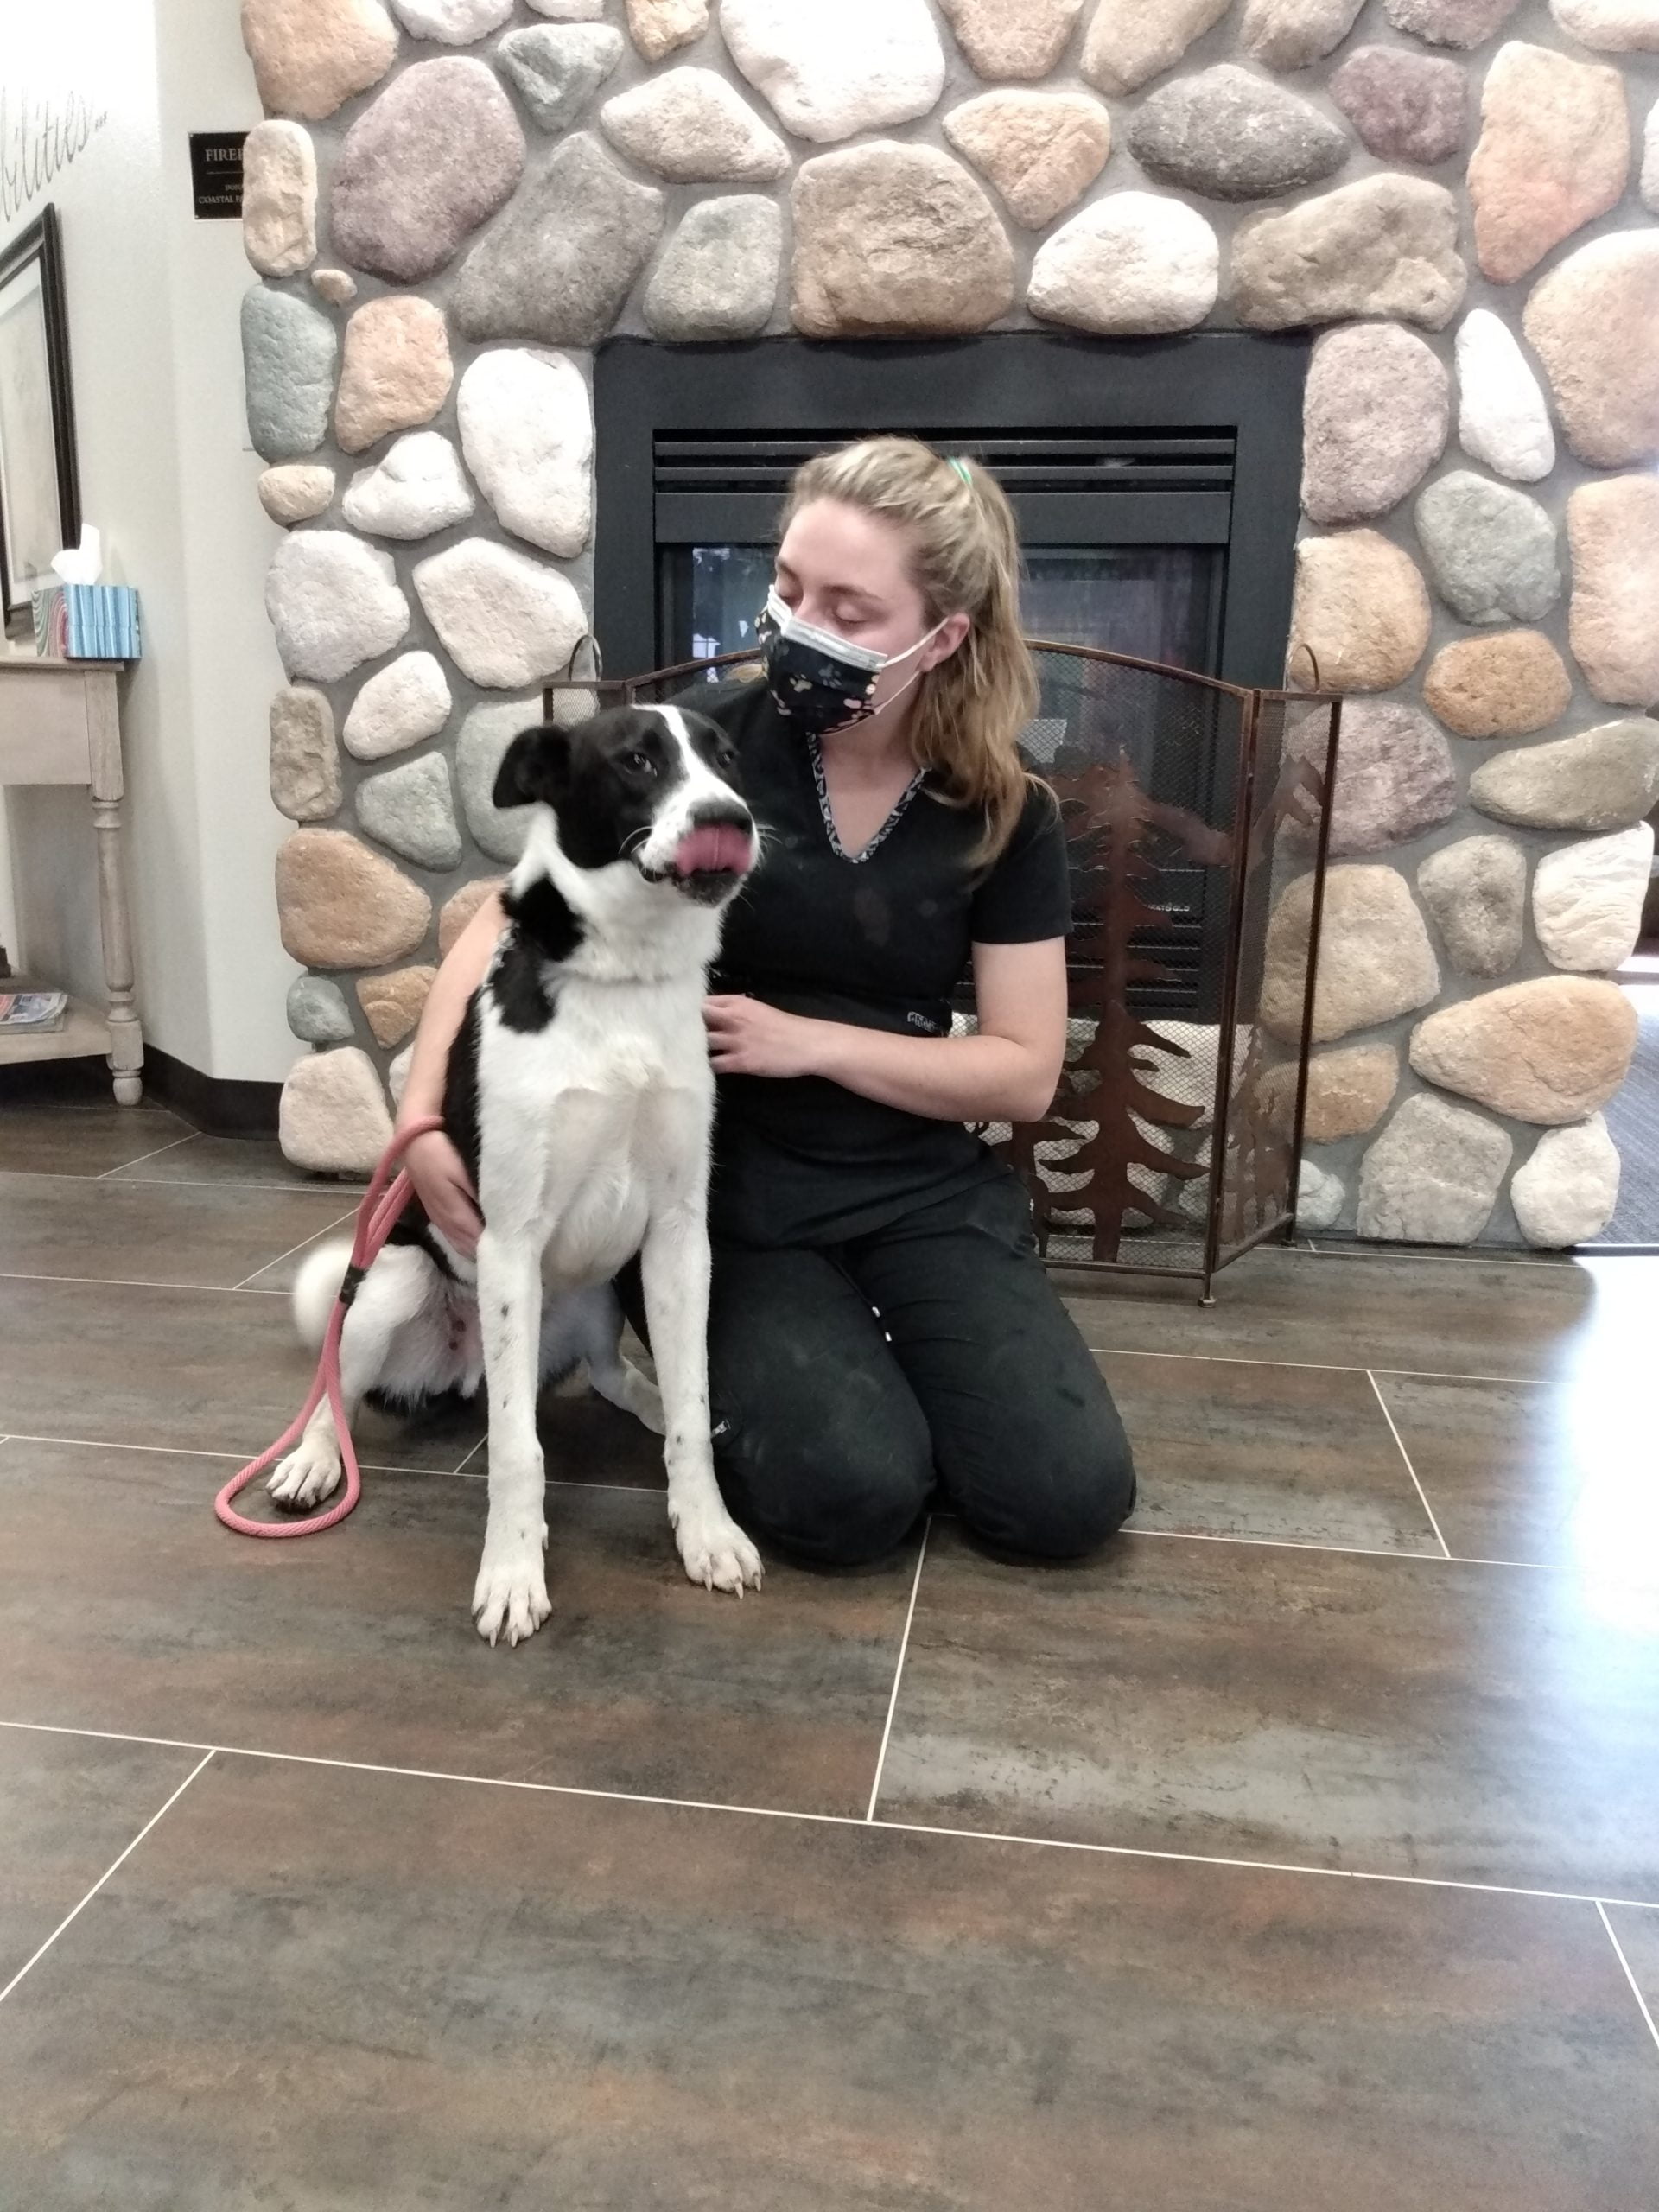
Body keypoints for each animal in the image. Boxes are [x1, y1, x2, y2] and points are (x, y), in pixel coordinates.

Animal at [269, 702, 764, 1645]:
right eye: (637, 760)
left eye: (728, 760)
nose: (732, 819)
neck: (623, 983)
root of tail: (457, 1369)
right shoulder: (507, 1243)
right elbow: (515, 1449)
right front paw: (511, 1572)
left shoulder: (681, 1237)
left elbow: (692, 1403)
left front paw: (707, 1529)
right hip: (392, 1282)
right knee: (336, 1388)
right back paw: (313, 1460)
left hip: (600, 1295)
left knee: (607, 1375)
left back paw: (643, 1396)